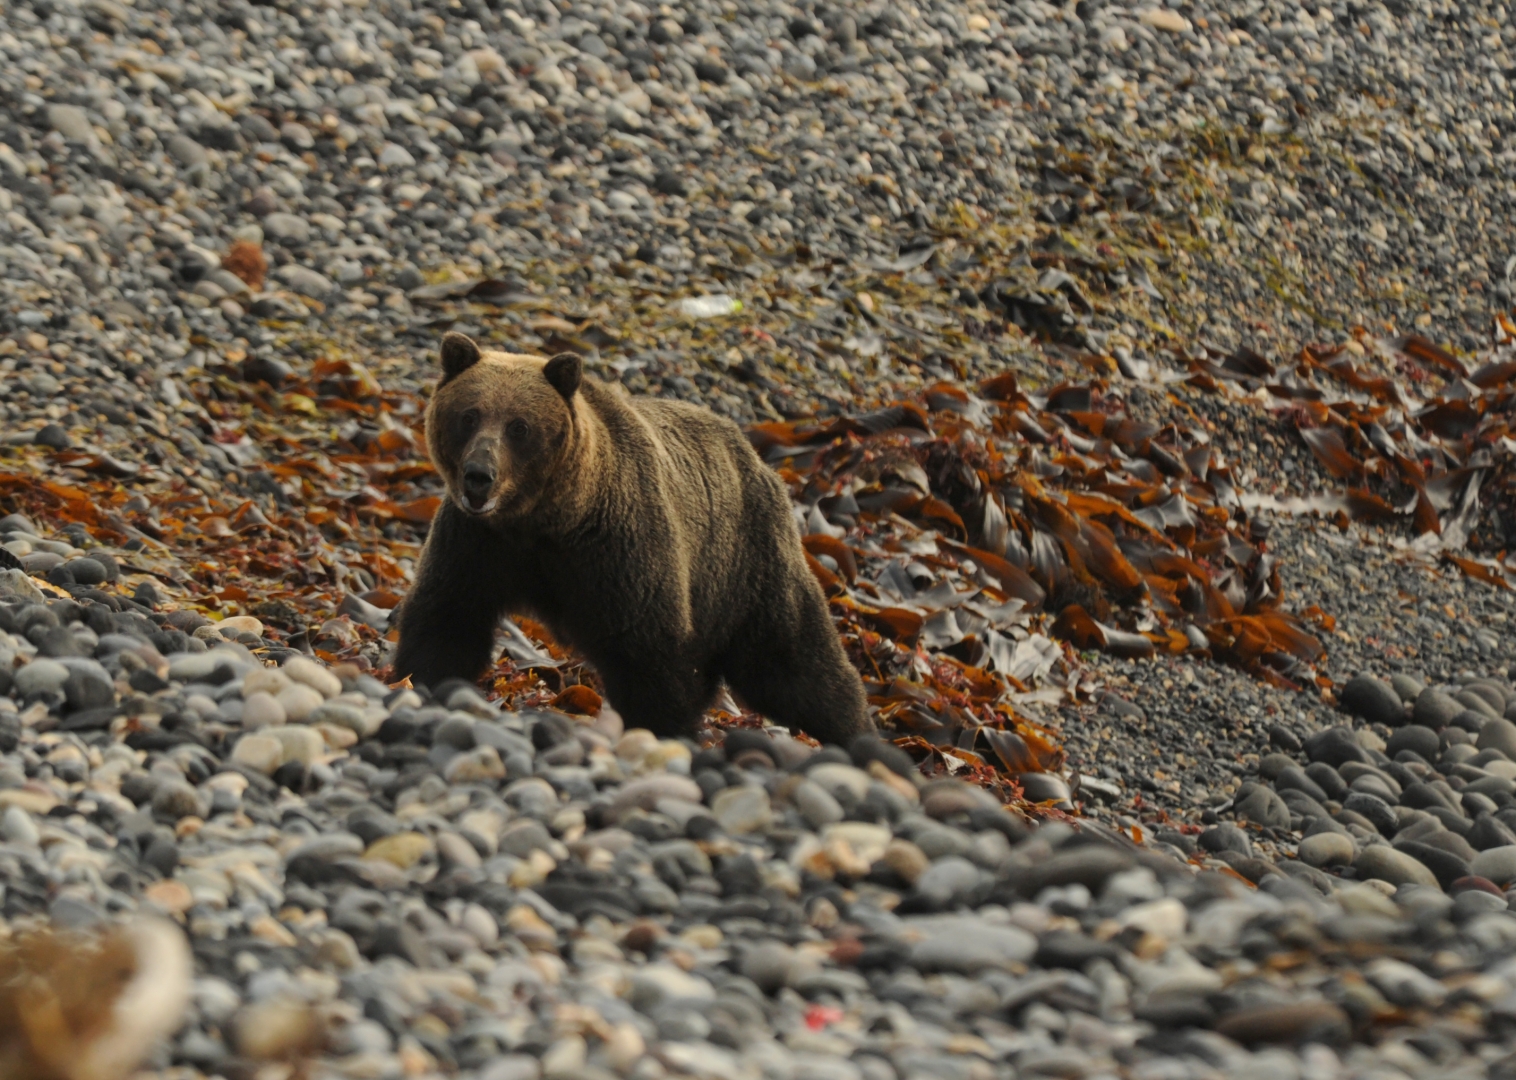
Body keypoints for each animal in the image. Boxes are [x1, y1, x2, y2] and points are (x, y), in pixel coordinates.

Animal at [391, 333, 873, 746]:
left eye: (519, 426)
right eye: (469, 415)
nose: (479, 476)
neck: (546, 521)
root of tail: (760, 461)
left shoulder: (618, 551)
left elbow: (648, 654)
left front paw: (661, 727)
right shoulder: (479, 544)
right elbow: (447, 618)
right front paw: (419, 680)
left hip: (748, 565)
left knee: (794, 664)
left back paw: (858, 732)